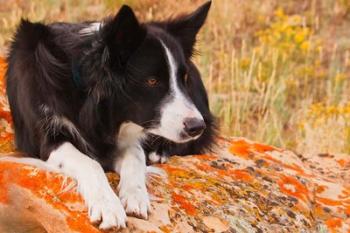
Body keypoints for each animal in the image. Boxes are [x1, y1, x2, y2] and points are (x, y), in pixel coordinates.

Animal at [4, 0, 213, 230]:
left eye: (183, 79)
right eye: (152, 81)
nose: (197, 127)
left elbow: (136, 155)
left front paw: (135, 196)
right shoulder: (47, 136)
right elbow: (89, 162)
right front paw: (108, 207)